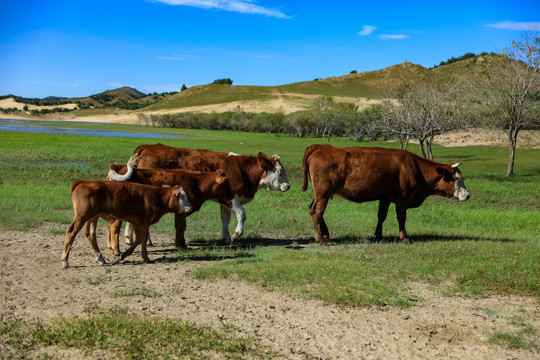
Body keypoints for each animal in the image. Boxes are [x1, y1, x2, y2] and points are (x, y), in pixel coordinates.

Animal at [62, 180, 192, 268]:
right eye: (182, 195)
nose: (190, 207)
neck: (156, 196)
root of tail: (84, 182)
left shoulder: (135, 221)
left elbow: (138, 239)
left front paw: (124, 255)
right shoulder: (144, 221)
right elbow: (144, 238)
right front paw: (146, 258)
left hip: (93, 216)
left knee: (90, 234)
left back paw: (100, 258)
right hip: (82, 216)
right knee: (71, 231)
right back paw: (65, 261)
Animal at [106, 165, 235, 252]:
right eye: (226, 182)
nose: (232, 194)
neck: (196, 183)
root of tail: (120, 167)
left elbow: (182, 227)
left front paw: (181, 243)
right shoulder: (181, 212)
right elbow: (180, 227)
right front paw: (181, 245)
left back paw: (111, 247)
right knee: (115, 226)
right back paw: (116, 251)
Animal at [127, 145, 292, 243]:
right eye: (280, 172)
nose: (288, 186)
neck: (242, 169)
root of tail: (146, 147)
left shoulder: (224, 199)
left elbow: (225, 218)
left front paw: (226, 237)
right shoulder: (230, 196)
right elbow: (241, 214)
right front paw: (236, 234)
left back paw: (129, 239)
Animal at [302, 144, 470, 245]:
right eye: (457, 178)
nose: (467, 195)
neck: (415, 168)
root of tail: (322, 147)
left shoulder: (385, 197)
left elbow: (381, 216)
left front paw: (378, 235)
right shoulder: (402, 199)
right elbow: (401, 218)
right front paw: (405, 237)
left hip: (320, 195)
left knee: (314, 210)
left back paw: (325, 234)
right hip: (323, 194)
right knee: (317, 212)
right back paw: (320, 239)